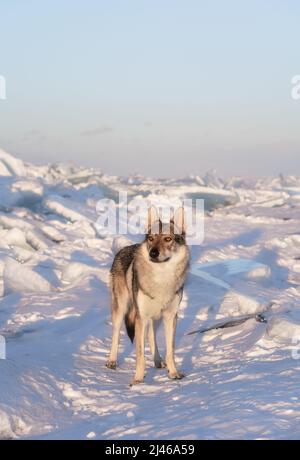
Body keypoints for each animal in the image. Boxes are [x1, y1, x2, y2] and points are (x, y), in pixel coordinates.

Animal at [106, 206, 189, 384]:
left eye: (167, 239)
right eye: (151, 238)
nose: (153, 253)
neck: (161, 279)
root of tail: (125, 248)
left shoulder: (170, 316)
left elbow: (170, 351)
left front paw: (173, 373)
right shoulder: (141, 317)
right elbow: (140, 354)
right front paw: (138, 380)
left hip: (155, 318)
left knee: (152, 336)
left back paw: (158, 361)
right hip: (121, 309)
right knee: (116, 334)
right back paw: (112, 361)